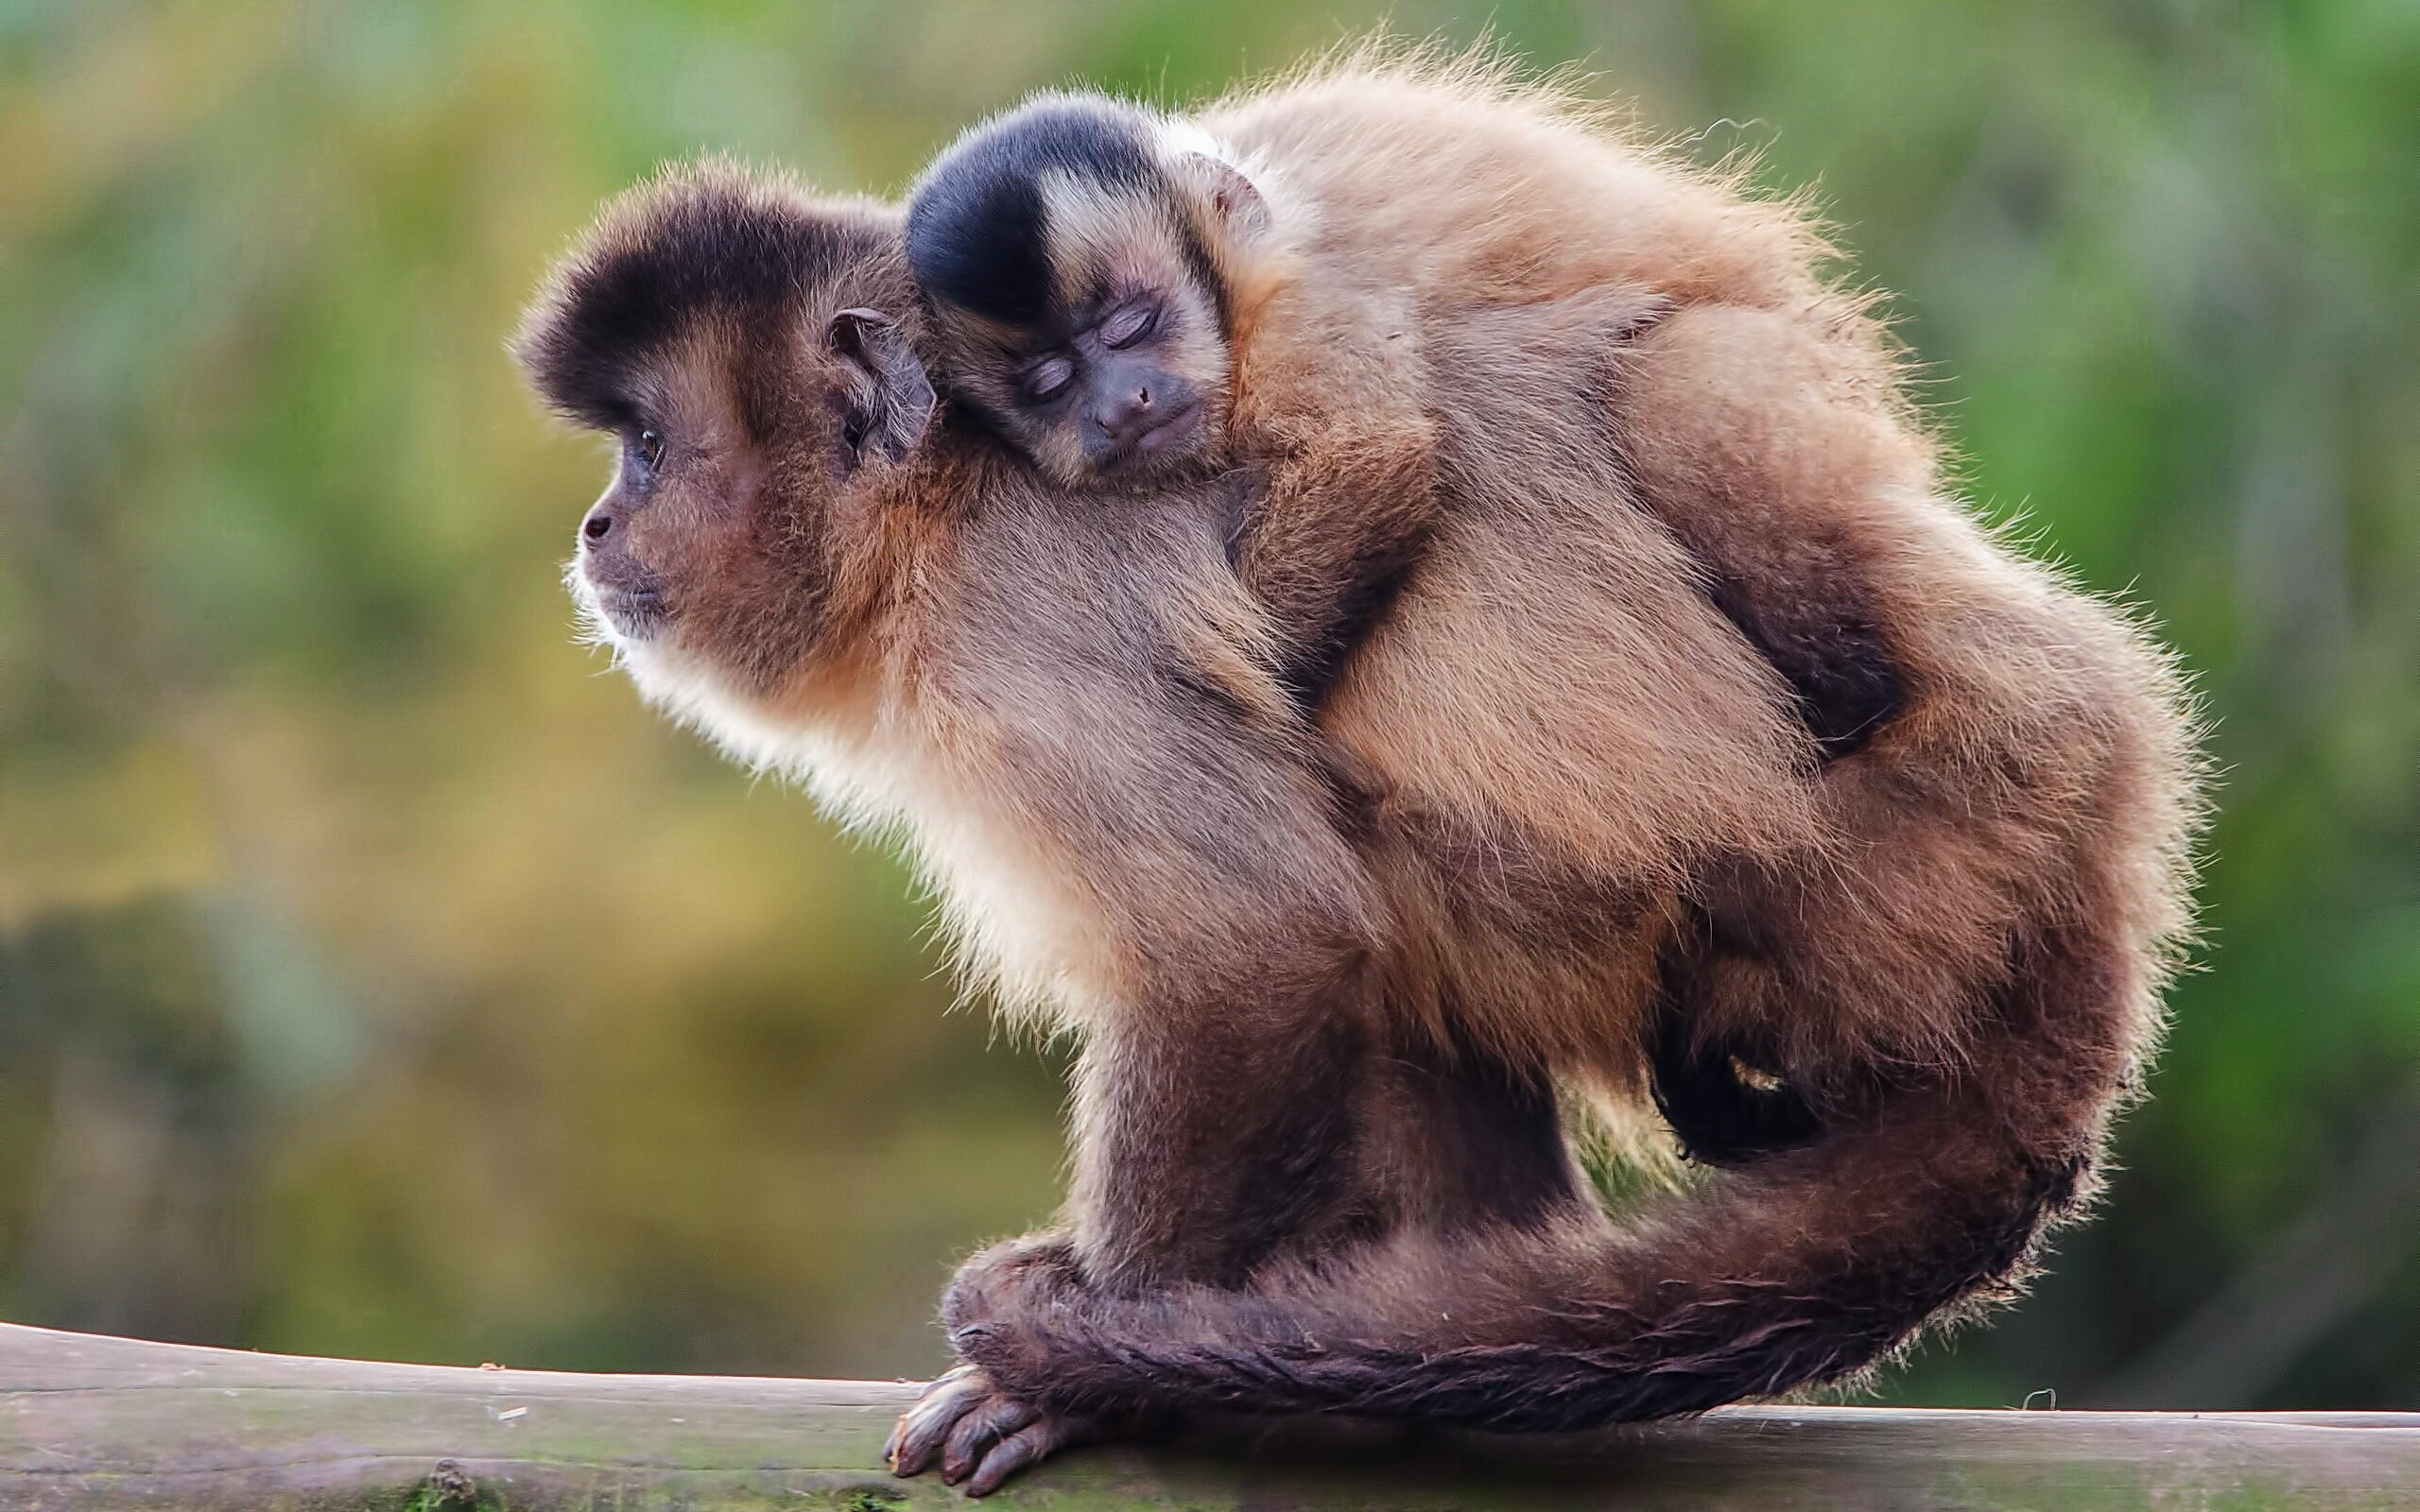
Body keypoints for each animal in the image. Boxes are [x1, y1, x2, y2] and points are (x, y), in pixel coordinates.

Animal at [520, 46, 2206, 1500]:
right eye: (1047, 377)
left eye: (651, 449)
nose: (600, 526)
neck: (939, 510)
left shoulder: (1023, 628)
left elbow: (1257, 943)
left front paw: (1084, 1381)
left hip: (1883, 878)